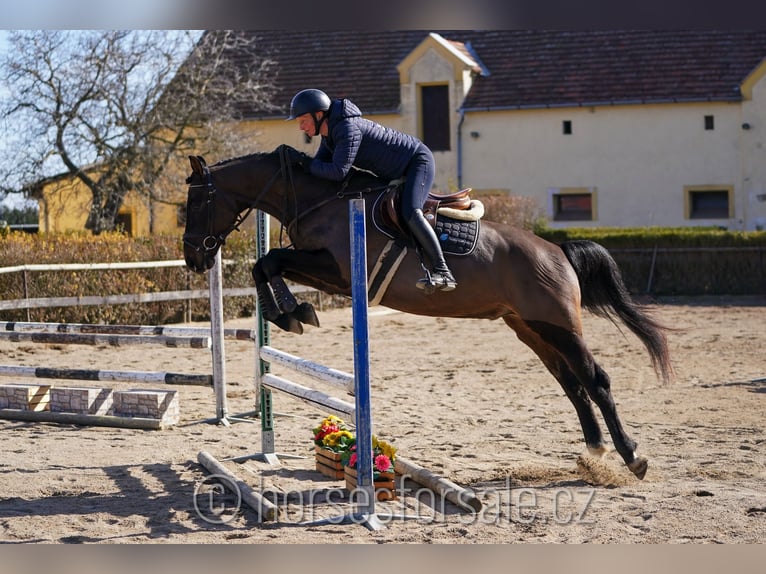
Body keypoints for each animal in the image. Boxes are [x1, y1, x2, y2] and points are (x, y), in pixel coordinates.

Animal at [183, 146, 676, 480]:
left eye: (197, 202)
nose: (193, 258)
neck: (316, 197)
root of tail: (557, 250)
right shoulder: (329, 275)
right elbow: (265, 264)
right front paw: (292, 312)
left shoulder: (338, 271)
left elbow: (270, 261)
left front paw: (292, 312)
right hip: (530, 328)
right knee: (572, 384)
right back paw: (594, 452)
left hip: (559, 326)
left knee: (596, 380)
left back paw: (632, 456)